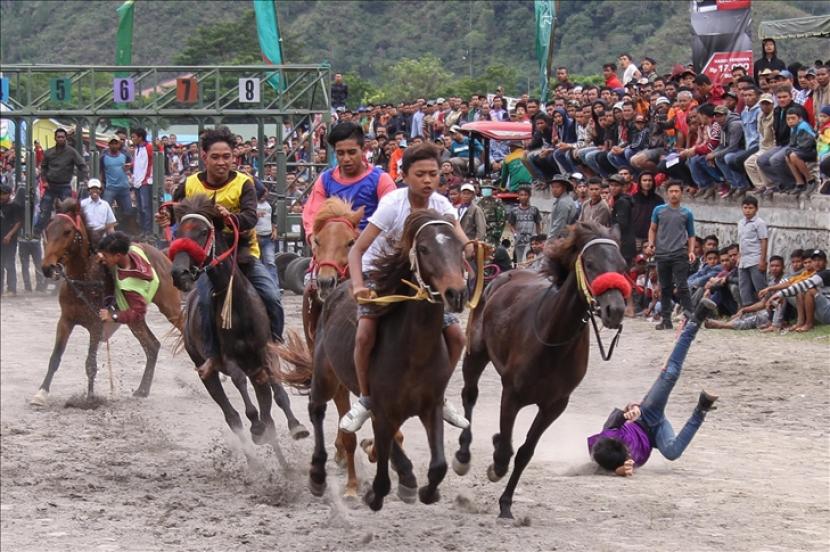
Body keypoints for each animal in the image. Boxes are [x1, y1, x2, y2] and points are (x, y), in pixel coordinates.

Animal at [34, 198, 184, 406]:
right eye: (48, 229)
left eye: (67, 231)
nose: (47, 268)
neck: (84, 279)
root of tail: (163, 254)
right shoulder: (65, 320)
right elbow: (55, 357)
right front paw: (41, 393)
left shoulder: (96, 324)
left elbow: (91, 363)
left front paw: (90, 398)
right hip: (134, 316)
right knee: (152, 345)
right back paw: (142, 389)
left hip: (170, 308)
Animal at [169, 194, 308, 444]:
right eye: (177, 233)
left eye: (202, 231)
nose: (179, 274)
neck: (236, 304)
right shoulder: (229, 358)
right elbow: (239, 384)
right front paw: (256, 426)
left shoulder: (266, 351)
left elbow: (279, 392)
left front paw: (296, 426)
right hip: (206, 369)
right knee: (231, 415)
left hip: (255, 370)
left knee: (266, 408)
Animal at [282, 209, 472, 512]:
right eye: (423, 248)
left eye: (460, 248)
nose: (456, 293)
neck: (414, 353)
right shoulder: (382, 409)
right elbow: (386, 460)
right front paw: (392, 484)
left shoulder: (430, 407)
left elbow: (438, 465)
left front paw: (423, 489)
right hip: (325, 375)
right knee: (317, 410)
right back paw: (319, 474)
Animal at [456, 222, 632, 520]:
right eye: (590, 262)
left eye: (622, 264)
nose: (615, 310)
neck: (553, 341)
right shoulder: (512, 395)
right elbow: (505, 451)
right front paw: (495, 468)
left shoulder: (555, 405)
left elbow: (525, 452)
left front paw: (506, 504)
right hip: (475, 354)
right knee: (469, 395)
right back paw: (463, 456)